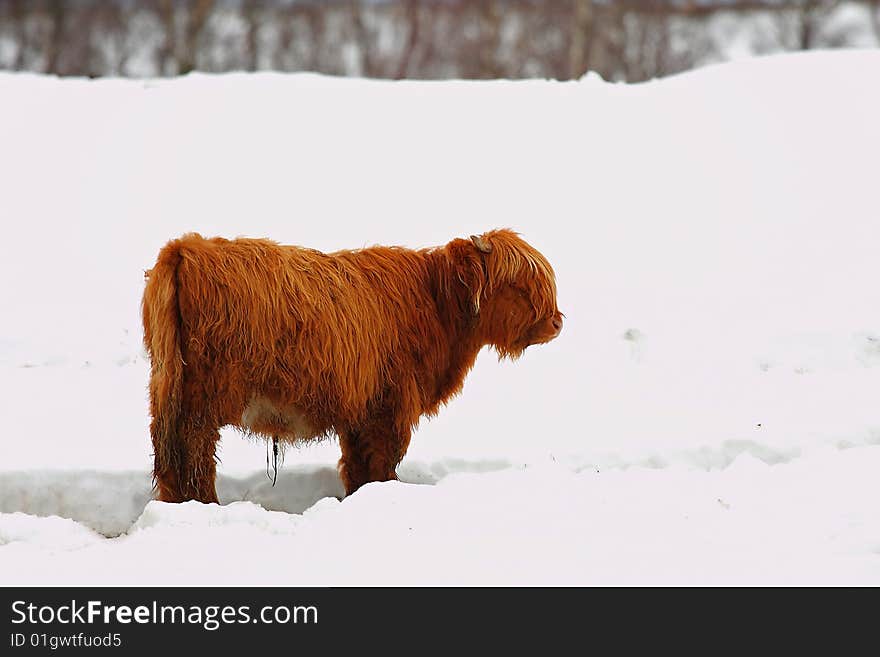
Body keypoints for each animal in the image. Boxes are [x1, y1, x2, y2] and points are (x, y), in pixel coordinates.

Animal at [141, 228, 560, 500]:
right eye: (518, 285)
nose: (557, 322)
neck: (435, 305)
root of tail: (187, 248)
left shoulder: (360, 410)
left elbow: (358, 467)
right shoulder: (390, 408)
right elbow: (382, 464)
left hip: (167, 387)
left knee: (168, 454)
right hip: (203, 401)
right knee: (195, 455)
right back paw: (204, 504)